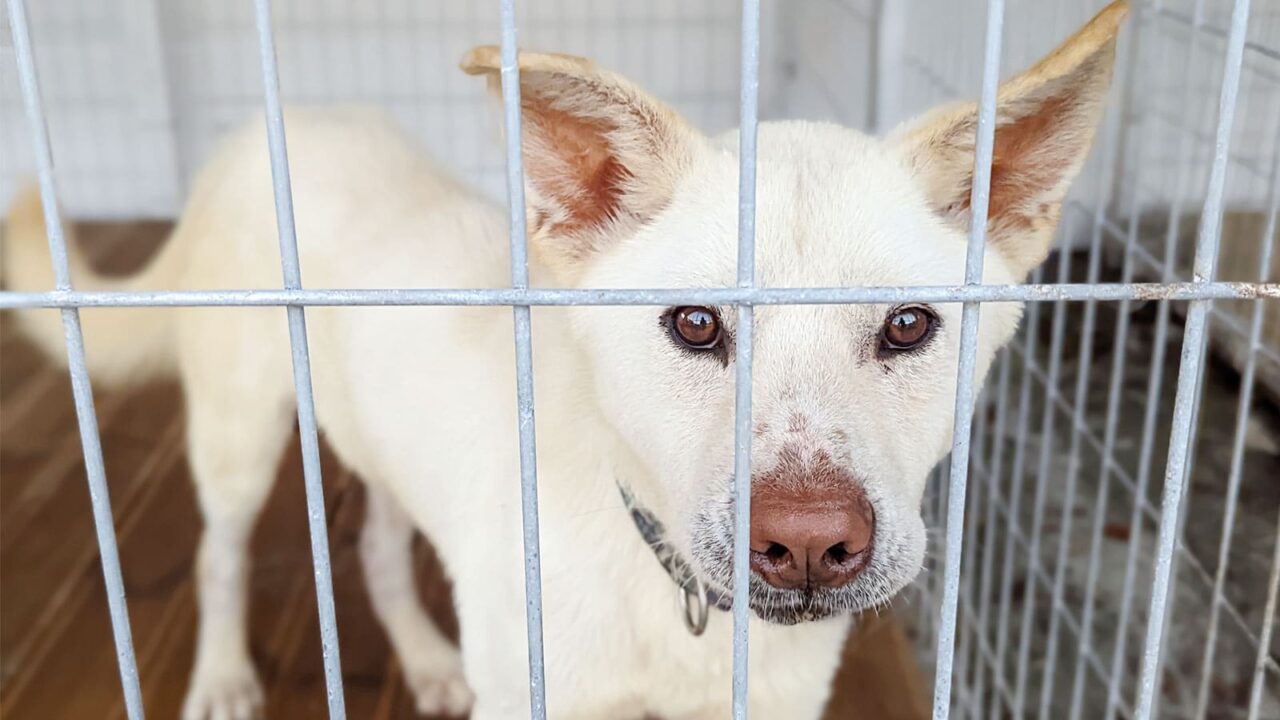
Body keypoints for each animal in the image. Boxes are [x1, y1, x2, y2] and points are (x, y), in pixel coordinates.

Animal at [7, 2, 1131, 712]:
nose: (811, 544)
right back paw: (221, 679)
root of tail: (262, 131)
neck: (664, 586)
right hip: (238, 434)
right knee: (221, 553)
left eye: (907, 327)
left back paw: (425, 659)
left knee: (376, 550)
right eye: (694, 326)